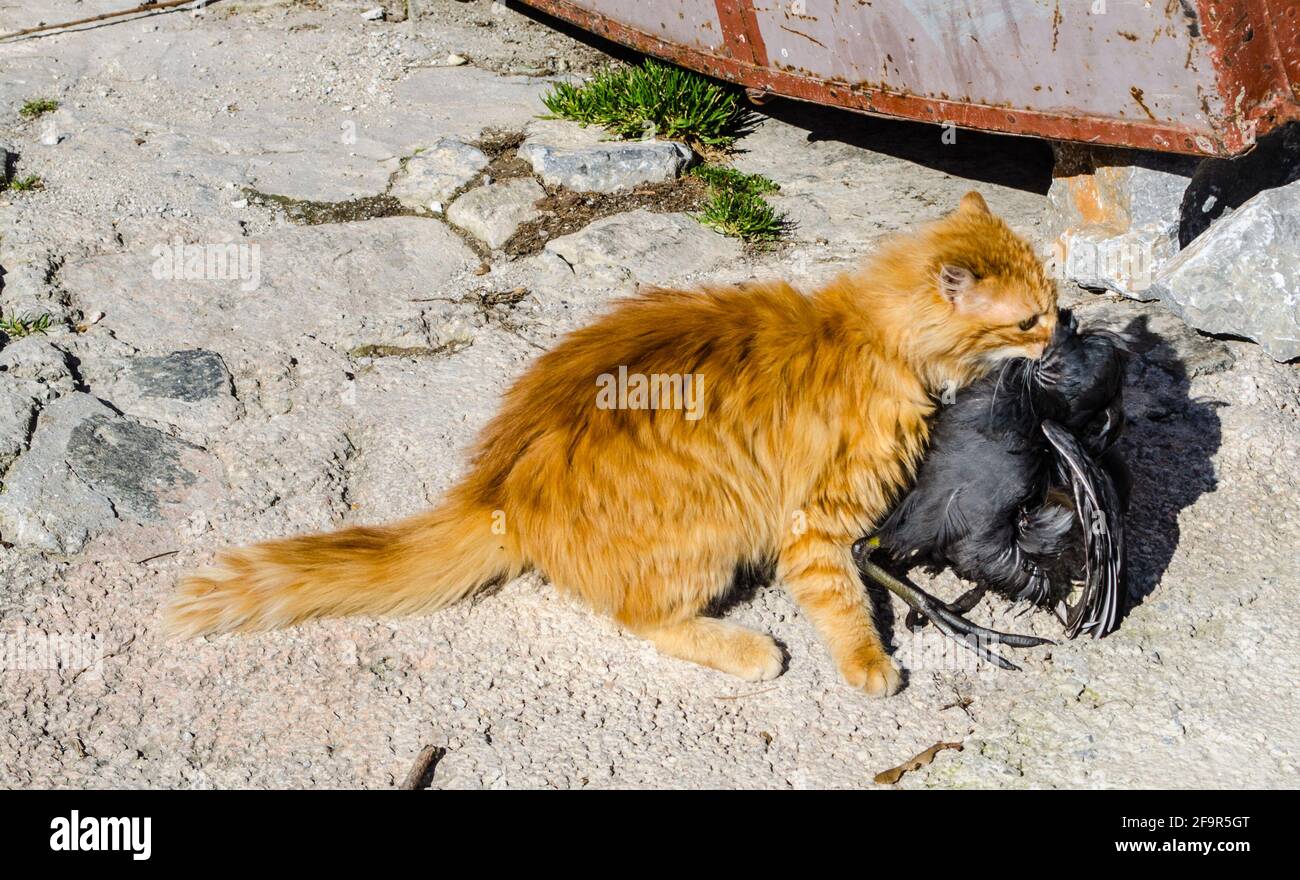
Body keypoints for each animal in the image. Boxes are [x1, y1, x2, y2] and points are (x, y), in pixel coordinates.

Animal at [167, 191, 1055, 691]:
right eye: (1027, 319)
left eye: (1051, 303)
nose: (1060, 330)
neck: (873, 336)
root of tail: (495, 490)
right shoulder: (817, 523)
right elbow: (844, 601)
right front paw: (871, 666)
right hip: (714, 523)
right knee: (644, 618)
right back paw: (749, 649)